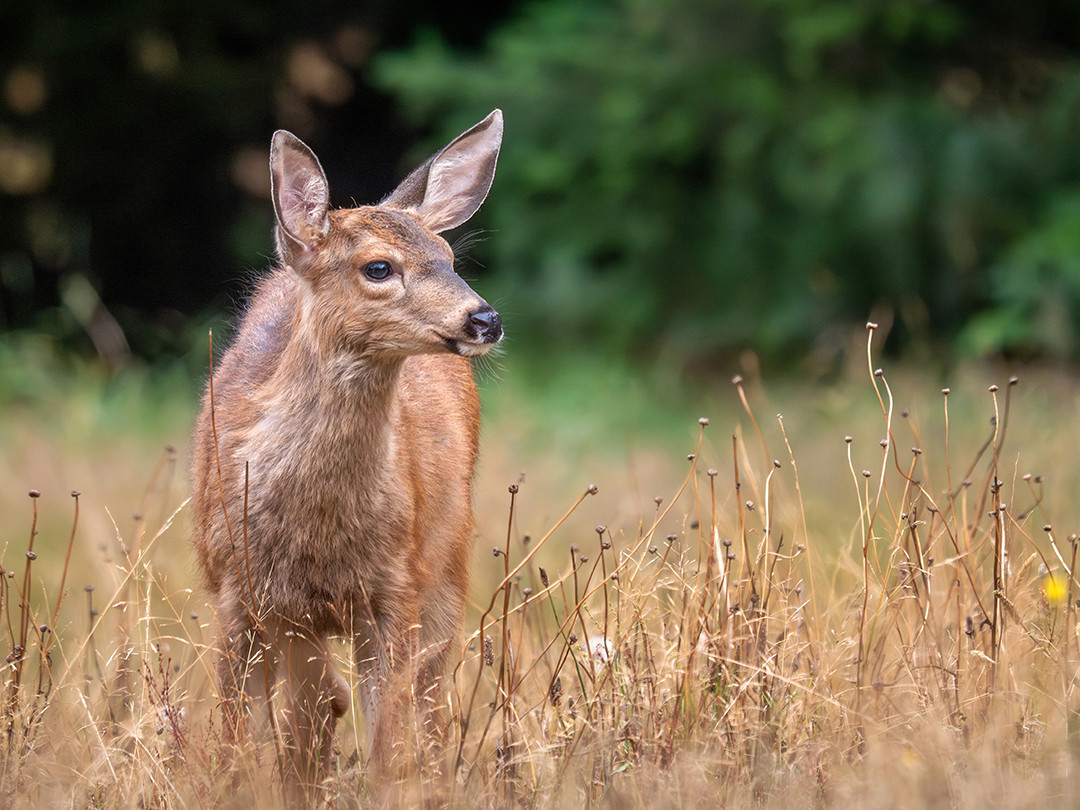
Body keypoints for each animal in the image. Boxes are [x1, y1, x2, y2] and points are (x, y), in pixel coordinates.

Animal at [190, 110, 504, 787]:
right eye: (379, 268)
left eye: (448, 256)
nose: (484, 320)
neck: (316, 531)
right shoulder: (237, 593)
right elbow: (235, 736)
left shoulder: (396, 588)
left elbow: (388, 737)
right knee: (311, 709)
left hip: (447, 563)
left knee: (426, 704)